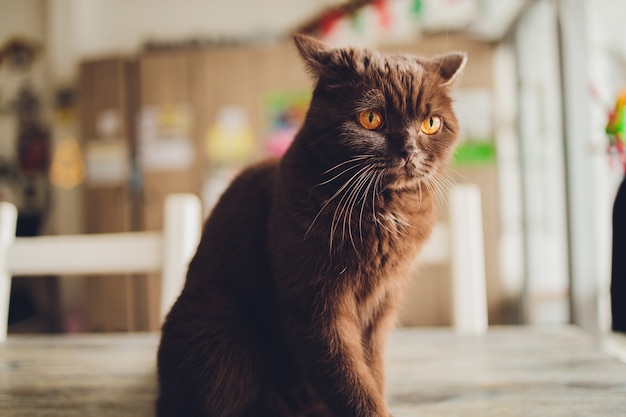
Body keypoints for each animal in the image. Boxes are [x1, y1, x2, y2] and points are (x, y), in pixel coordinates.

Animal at [157, 34, 464, 414]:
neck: (382, 209)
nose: (409, 151)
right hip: (213, 312)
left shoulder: (382, 304)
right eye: (371, 118)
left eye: (431, 123)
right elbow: (347, 378)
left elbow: (371, 371)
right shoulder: (315, 304)